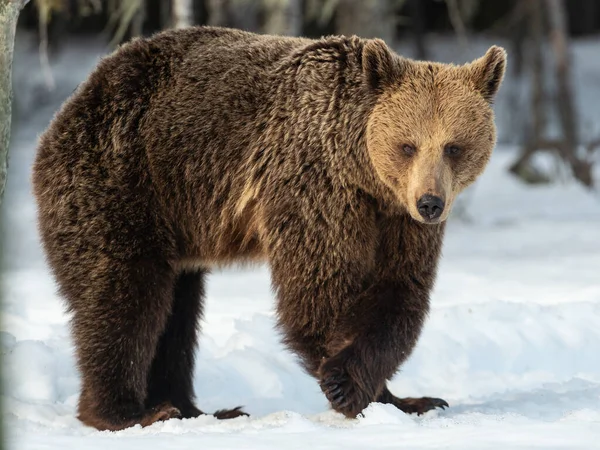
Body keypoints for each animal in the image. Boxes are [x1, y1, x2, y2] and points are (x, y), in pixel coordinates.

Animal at [31, 25, 506, 432]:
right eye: (408, 145)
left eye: (454, 146)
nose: (430, 202)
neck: (361, 172)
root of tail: (68, 110)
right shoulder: (313, 186)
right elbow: (317, 292)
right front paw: (346, 384)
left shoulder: (396, 220)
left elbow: (398, 291)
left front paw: (406, 398)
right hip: (123, 185)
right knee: (125, 297)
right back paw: (130, 412)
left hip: (176, 227)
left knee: (178, 312)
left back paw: (196, 408)